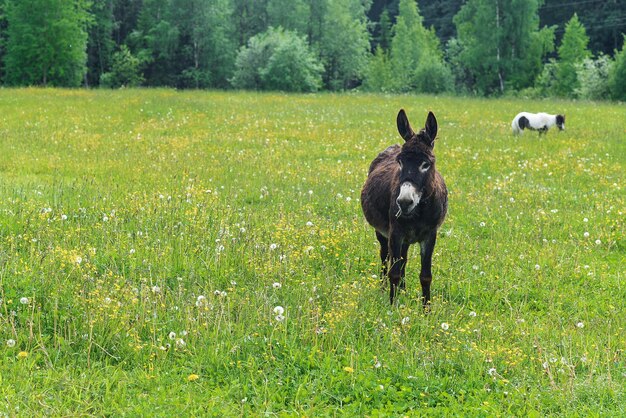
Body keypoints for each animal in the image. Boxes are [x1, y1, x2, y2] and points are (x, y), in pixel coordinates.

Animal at [358, 109, 446, 306]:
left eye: (426, 164)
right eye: (400, 162)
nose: (404, 202)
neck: (418, 213)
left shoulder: (430, 235)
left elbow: (426, 276)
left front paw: (426, 309)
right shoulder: (395, 233)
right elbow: (394, 273)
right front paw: (392, 306)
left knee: (403, 259)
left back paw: (403, 292)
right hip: (384, 234)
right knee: (385, 257)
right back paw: (385, 289)